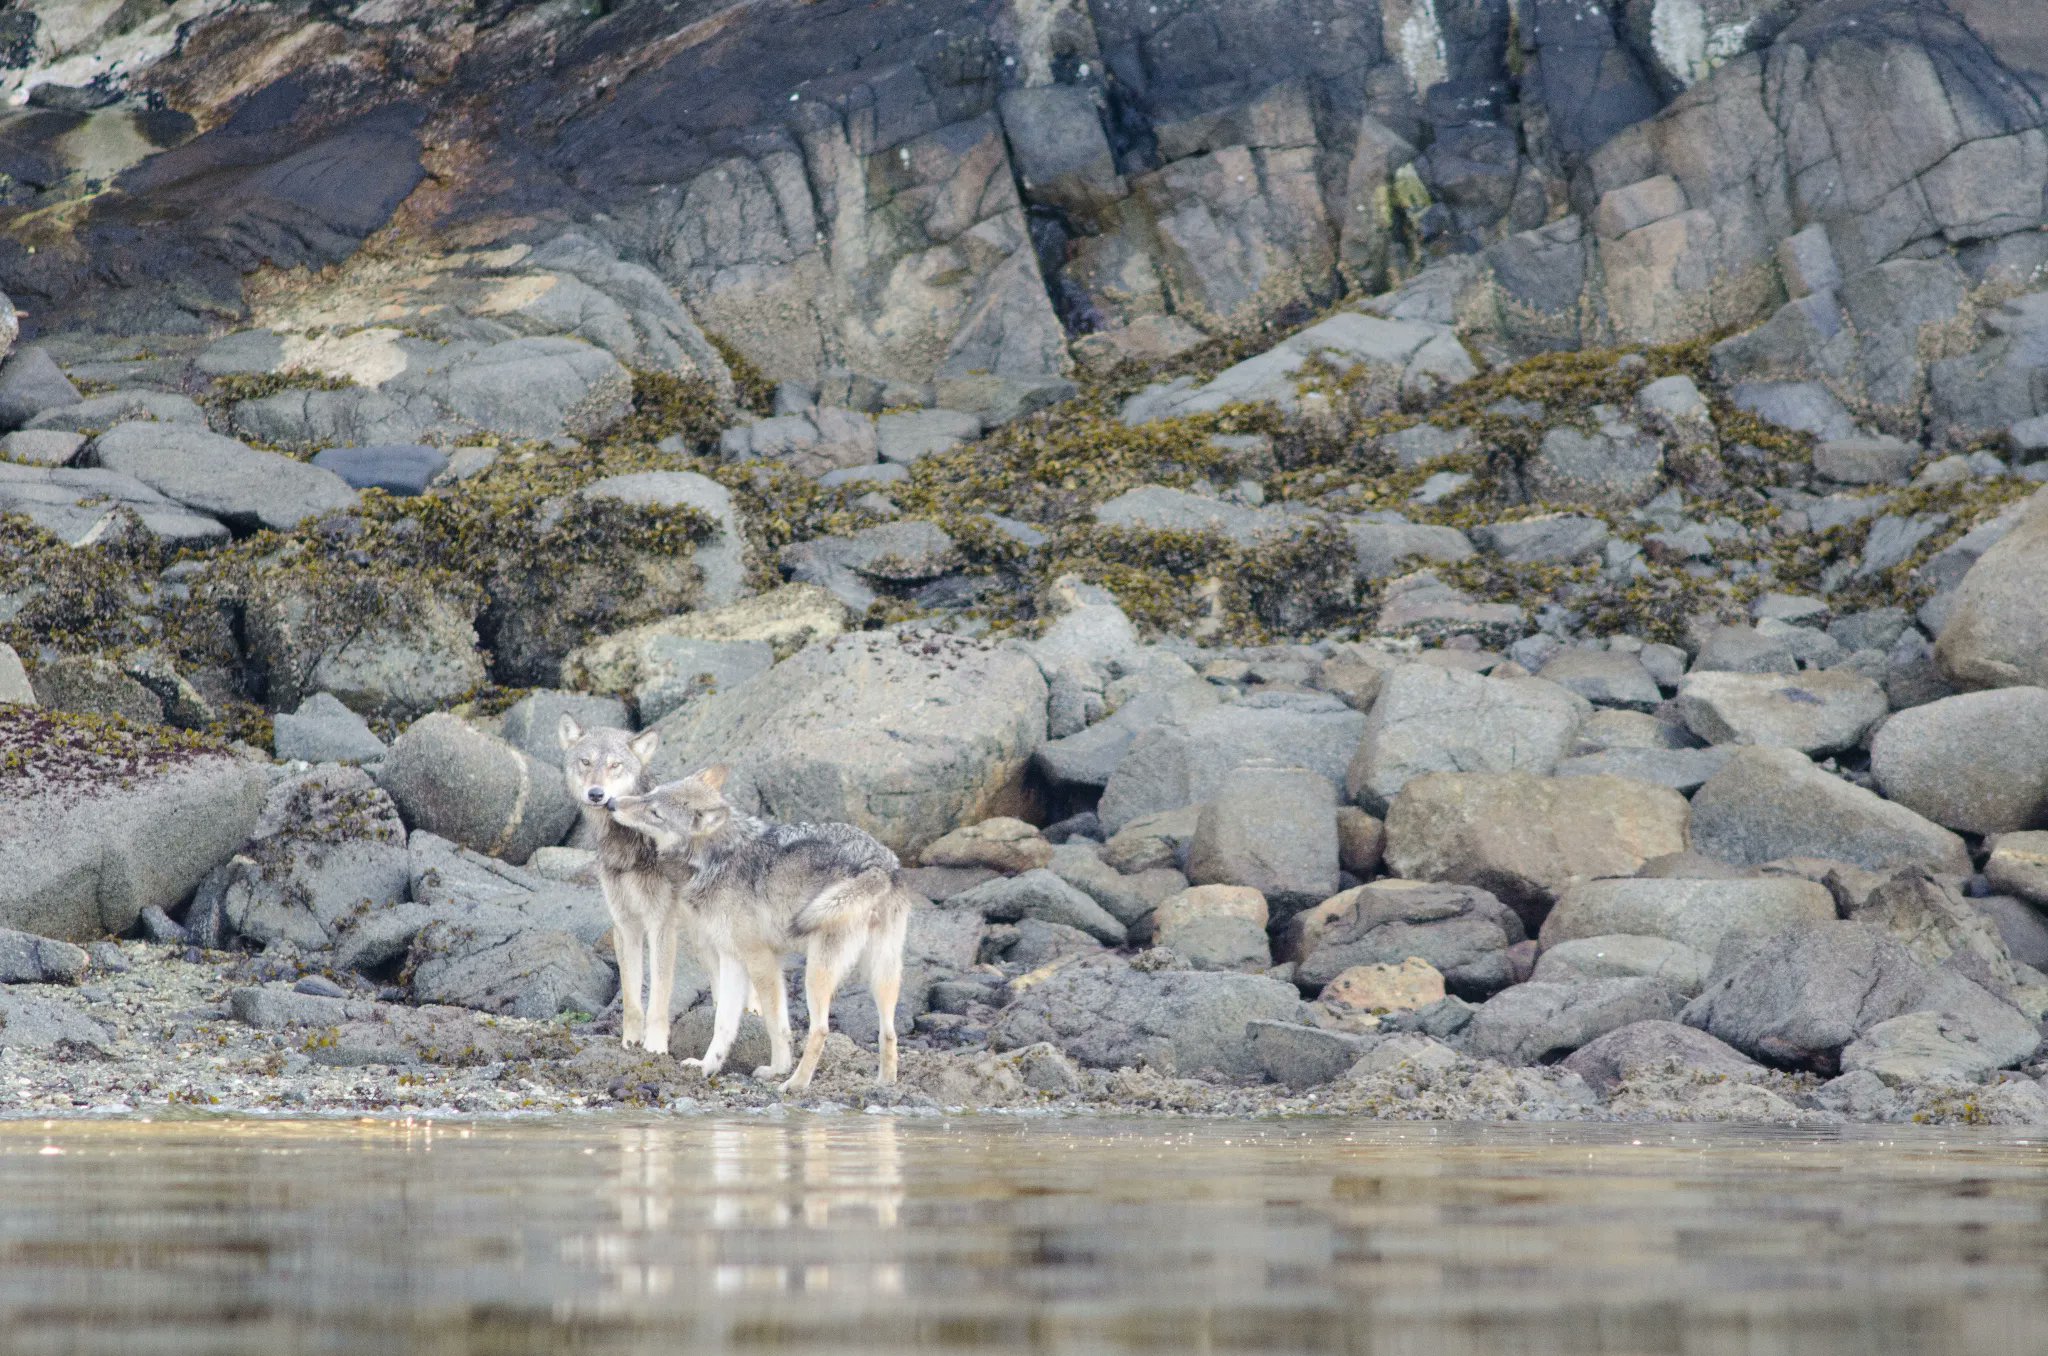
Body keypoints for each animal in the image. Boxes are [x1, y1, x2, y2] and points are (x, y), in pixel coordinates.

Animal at [556, 716, 780, 1057]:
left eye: (615, 765)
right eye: (586, 762)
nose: (597, 794)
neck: (628, 846)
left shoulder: (660, 925)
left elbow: (659, 996)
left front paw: (656, 1045)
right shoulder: (626, 925)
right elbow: (632, 998)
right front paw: (630, 1041)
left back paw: (751, 1011)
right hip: (701, 939)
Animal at [606, 765, 912, 1092]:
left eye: (655, 813)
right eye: (649, 794)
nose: (611, 803)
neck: (717, 859)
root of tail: (878, 864)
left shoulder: (761, 959)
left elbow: (775, 1025)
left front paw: (778, 1068)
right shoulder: (731, 959)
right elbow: (724, 1022)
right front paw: (707, 1066)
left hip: (817, 973)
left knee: (820, 1029)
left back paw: (796, 1083)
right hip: (882, 975)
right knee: (889, 1032)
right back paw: (885, 1084)